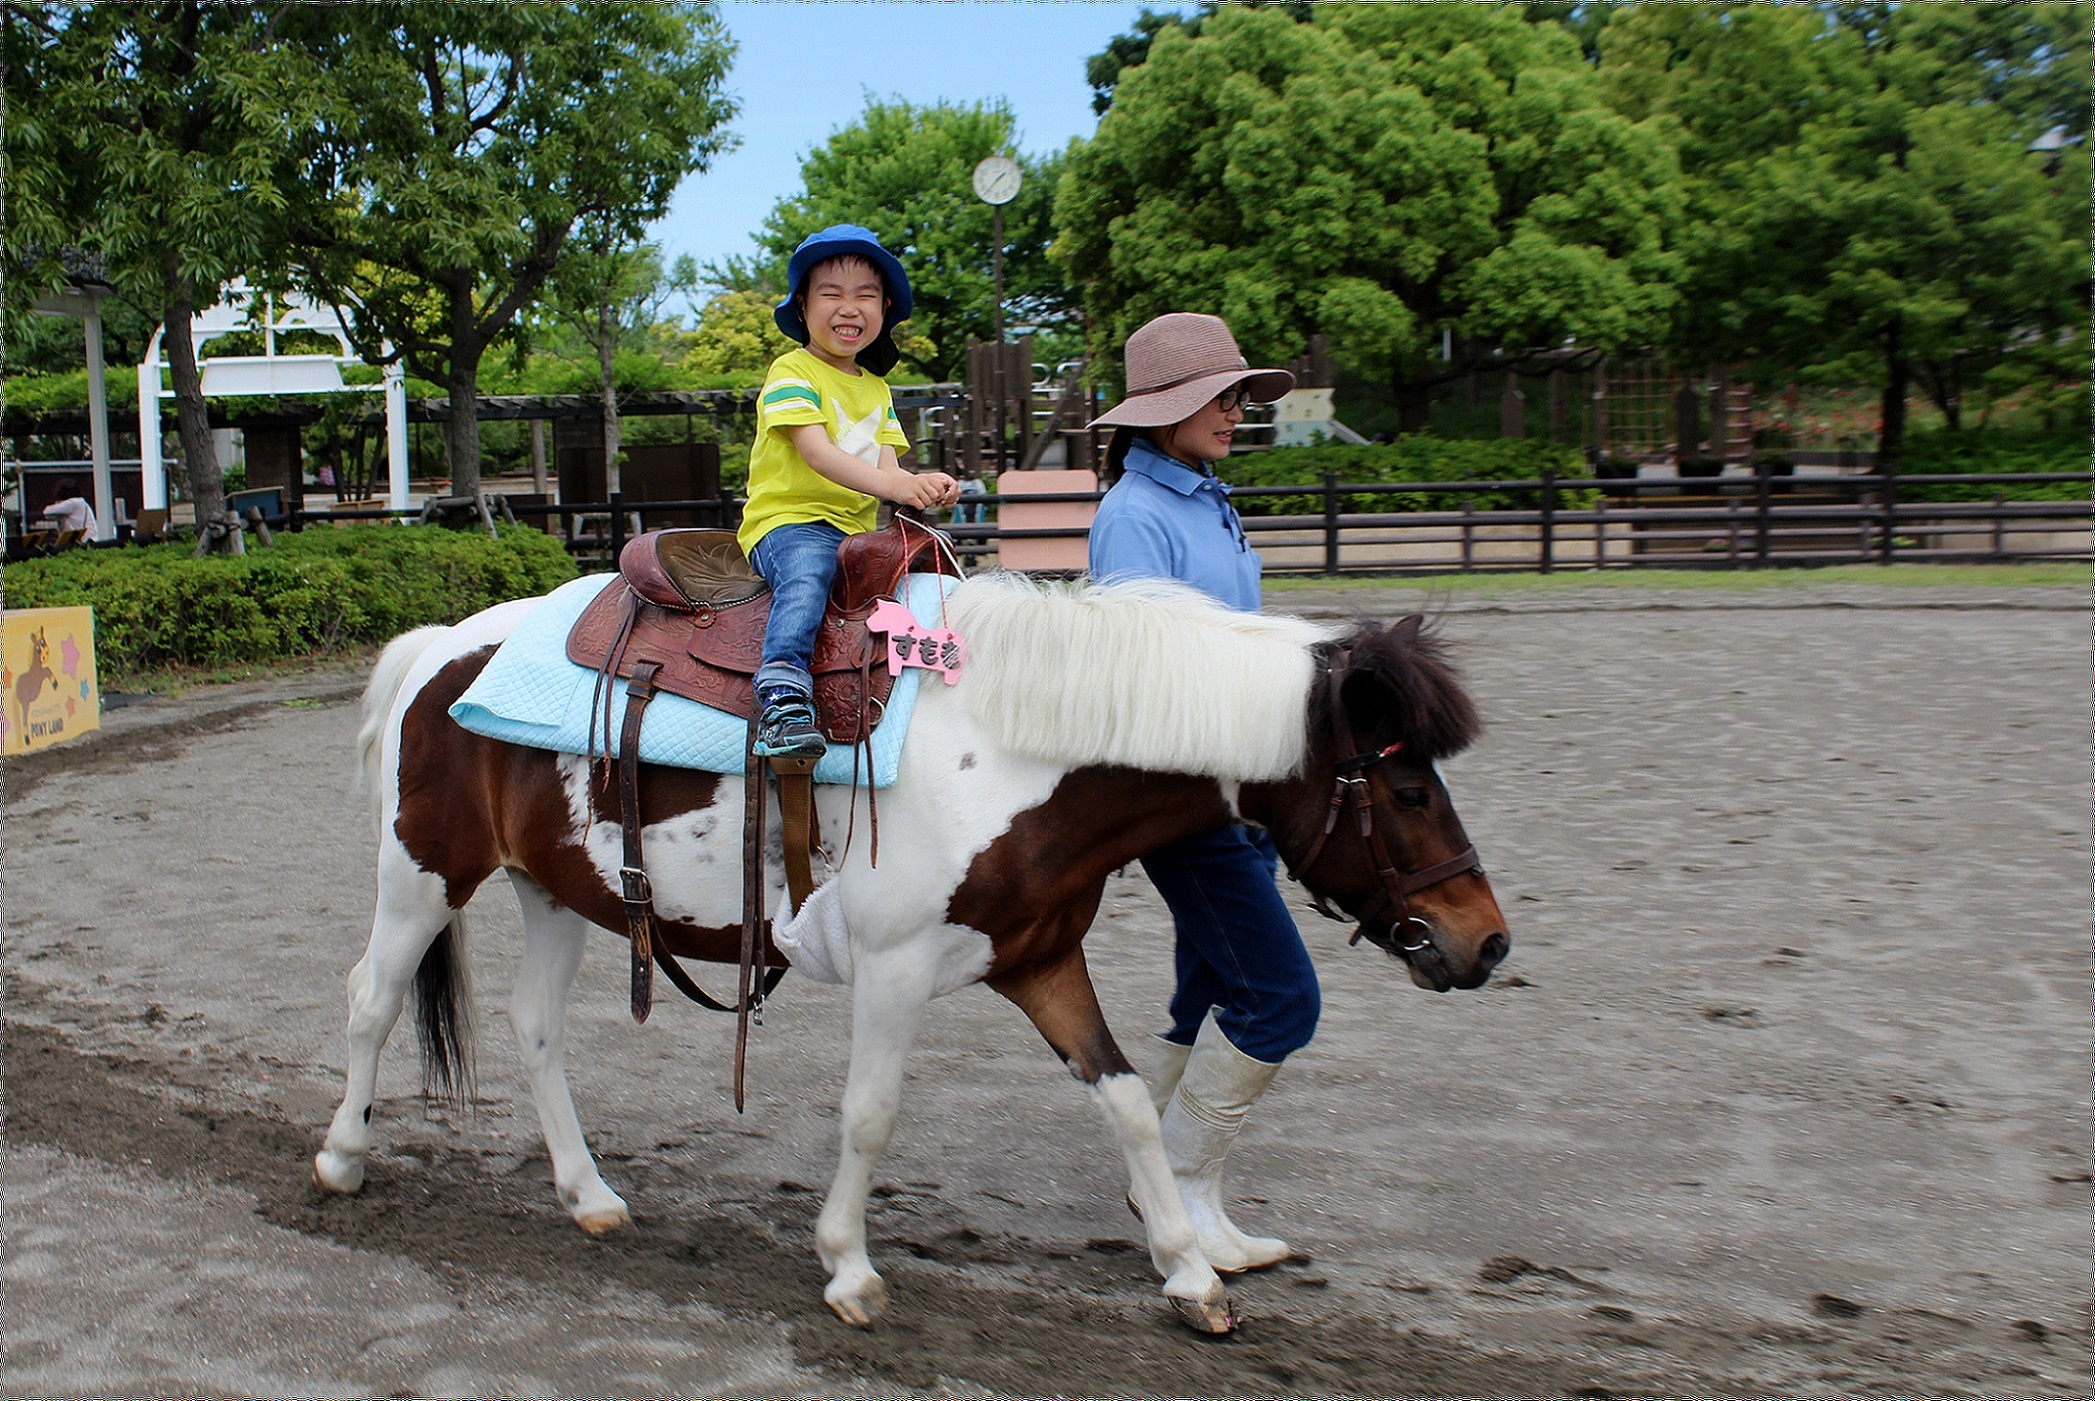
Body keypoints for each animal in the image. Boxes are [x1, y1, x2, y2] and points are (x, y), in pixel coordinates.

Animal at [314, 569, 1508, 1331]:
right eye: (1407, 787)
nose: (1485, 942)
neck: (1020, 753)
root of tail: (440, 647)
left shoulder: (1039, 961)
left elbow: (1127, 1100)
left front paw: (1186, 1270)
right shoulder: (890, 972)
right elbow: (870, 1115)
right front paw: (848, 1268)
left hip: (556, 890)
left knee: (536, 1028)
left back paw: (587, 1192)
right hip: (420, 874)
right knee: (371, 997)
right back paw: (341, 1158)